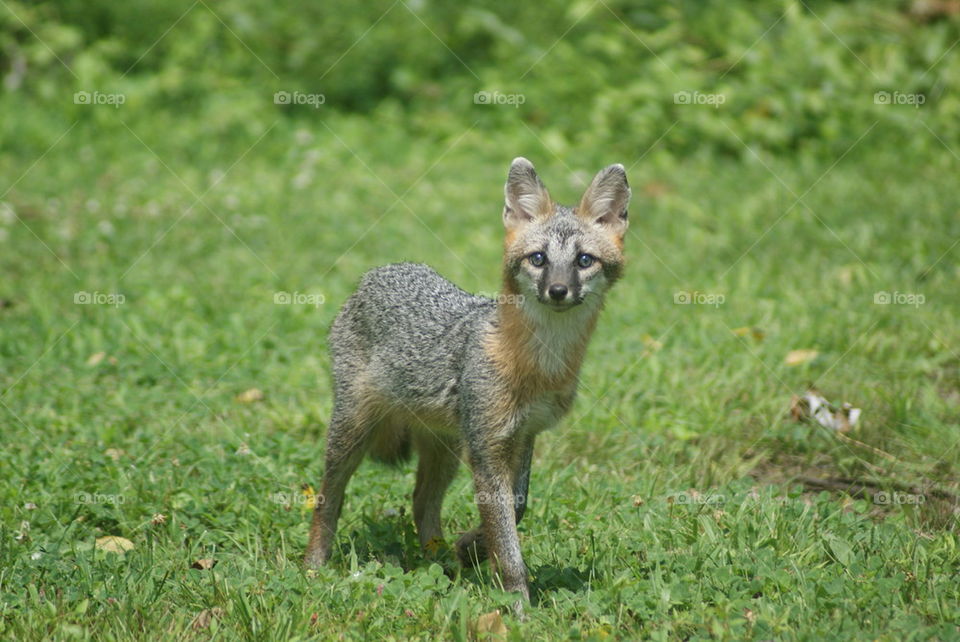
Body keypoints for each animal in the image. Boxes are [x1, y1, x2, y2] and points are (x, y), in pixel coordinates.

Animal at [308, 158, 632, 604]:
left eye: (584, 260)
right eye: (538, 259)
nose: (557, 290)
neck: (537, 364)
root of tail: (382, 270)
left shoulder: (523, 434)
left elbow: (517, 508)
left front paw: (471, 549)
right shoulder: (486, 446)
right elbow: (507, 537)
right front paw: (517, 605)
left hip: (444, 447)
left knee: (422, 502)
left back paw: (442, 561)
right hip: (352, 433)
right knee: (328, 498)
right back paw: (314, 567)